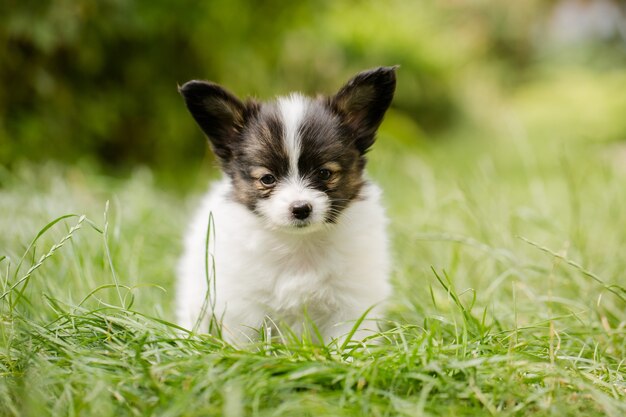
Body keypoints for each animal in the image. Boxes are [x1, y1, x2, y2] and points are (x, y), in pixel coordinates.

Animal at [174, 66, 394, 344]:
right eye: (267, 179)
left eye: (324, 173)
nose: (300, 209)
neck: (299, 245)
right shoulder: (244, 308)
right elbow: (245, 344)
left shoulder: (351, 303)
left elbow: (346, 341)